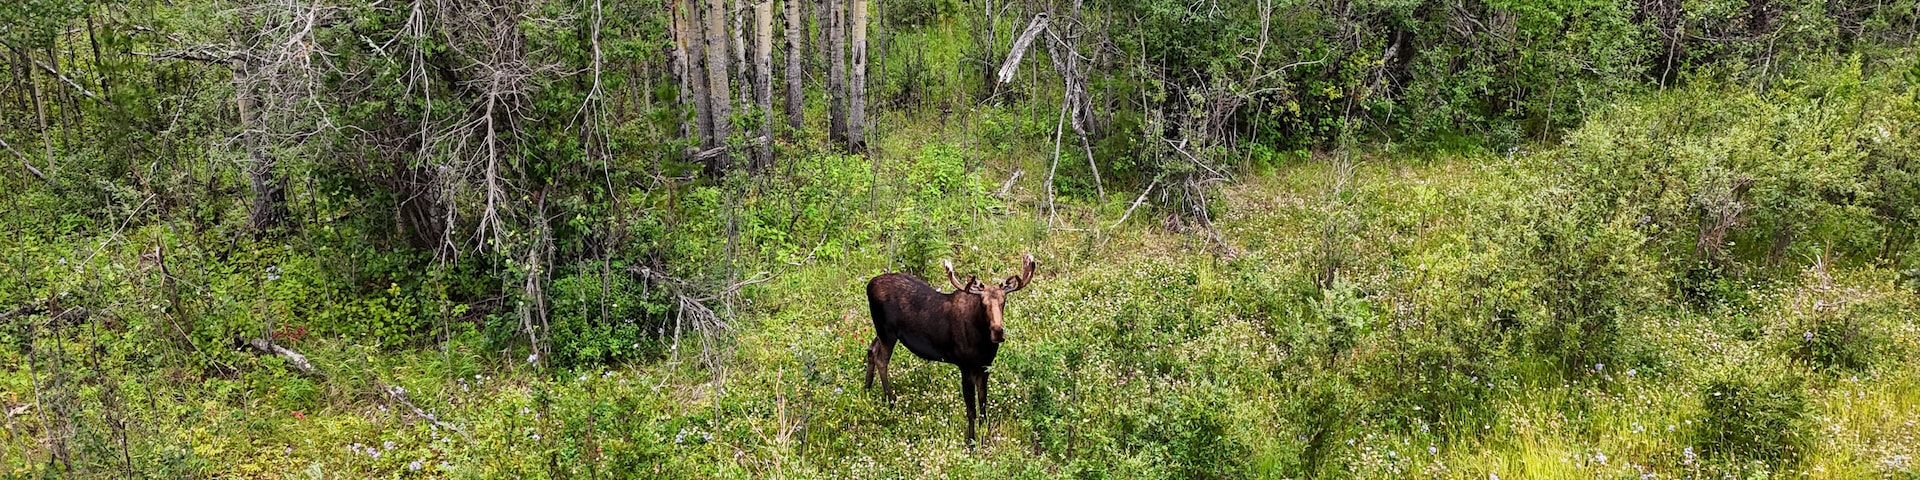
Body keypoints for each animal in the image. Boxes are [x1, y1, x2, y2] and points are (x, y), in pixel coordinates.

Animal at [864, 254, 1037, 445]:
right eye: (983, 303)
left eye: (1003, 301)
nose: (998, 331)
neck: (983, 344)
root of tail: (869, 285)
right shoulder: (965, 366)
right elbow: (971, 410)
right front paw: (971, 442)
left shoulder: (985, 366)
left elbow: (983, 403)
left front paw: (984, 434)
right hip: (887, 331)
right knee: (881, 359)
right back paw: (890, 400)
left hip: (882, 332)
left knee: (871, 349)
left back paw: (867, 390)